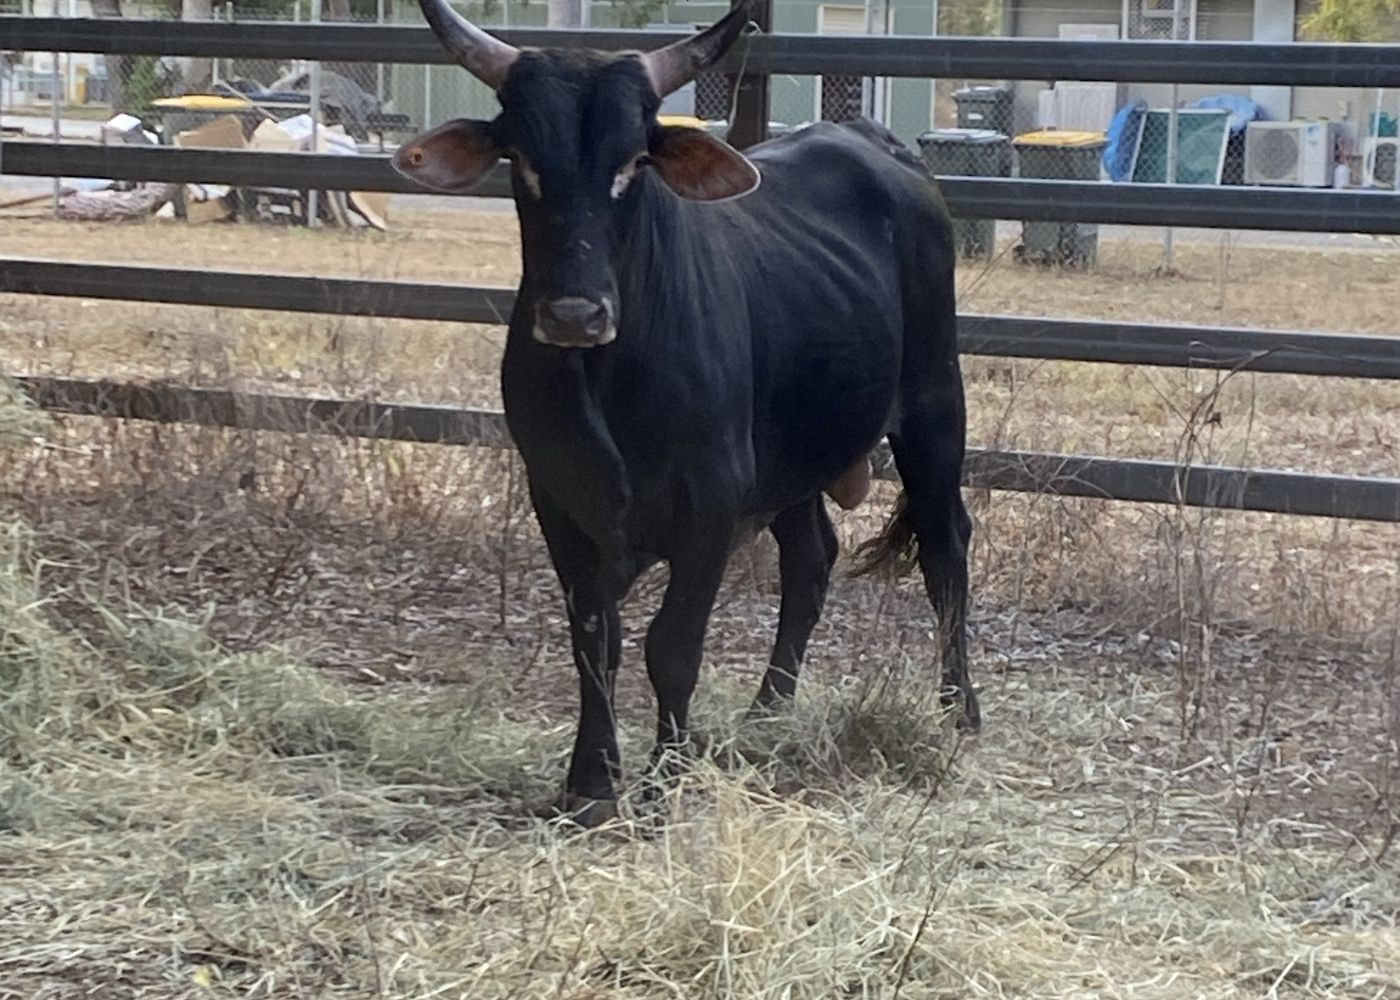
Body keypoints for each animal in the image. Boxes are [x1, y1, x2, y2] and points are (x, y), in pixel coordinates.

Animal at [393, 0, 978, 825]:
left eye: (633, 163)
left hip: (933, 407)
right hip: (794, 457)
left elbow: (671, 647)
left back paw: (960, 710)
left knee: (945, 548)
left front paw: (665, 777)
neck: (607, 383)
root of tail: (876, 144)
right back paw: (768, 711)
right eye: (526, 162)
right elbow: (594, 641)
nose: (575, 313)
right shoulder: (560, 505)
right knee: (811, 560)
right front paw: (590, 781)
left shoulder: (710, 505)